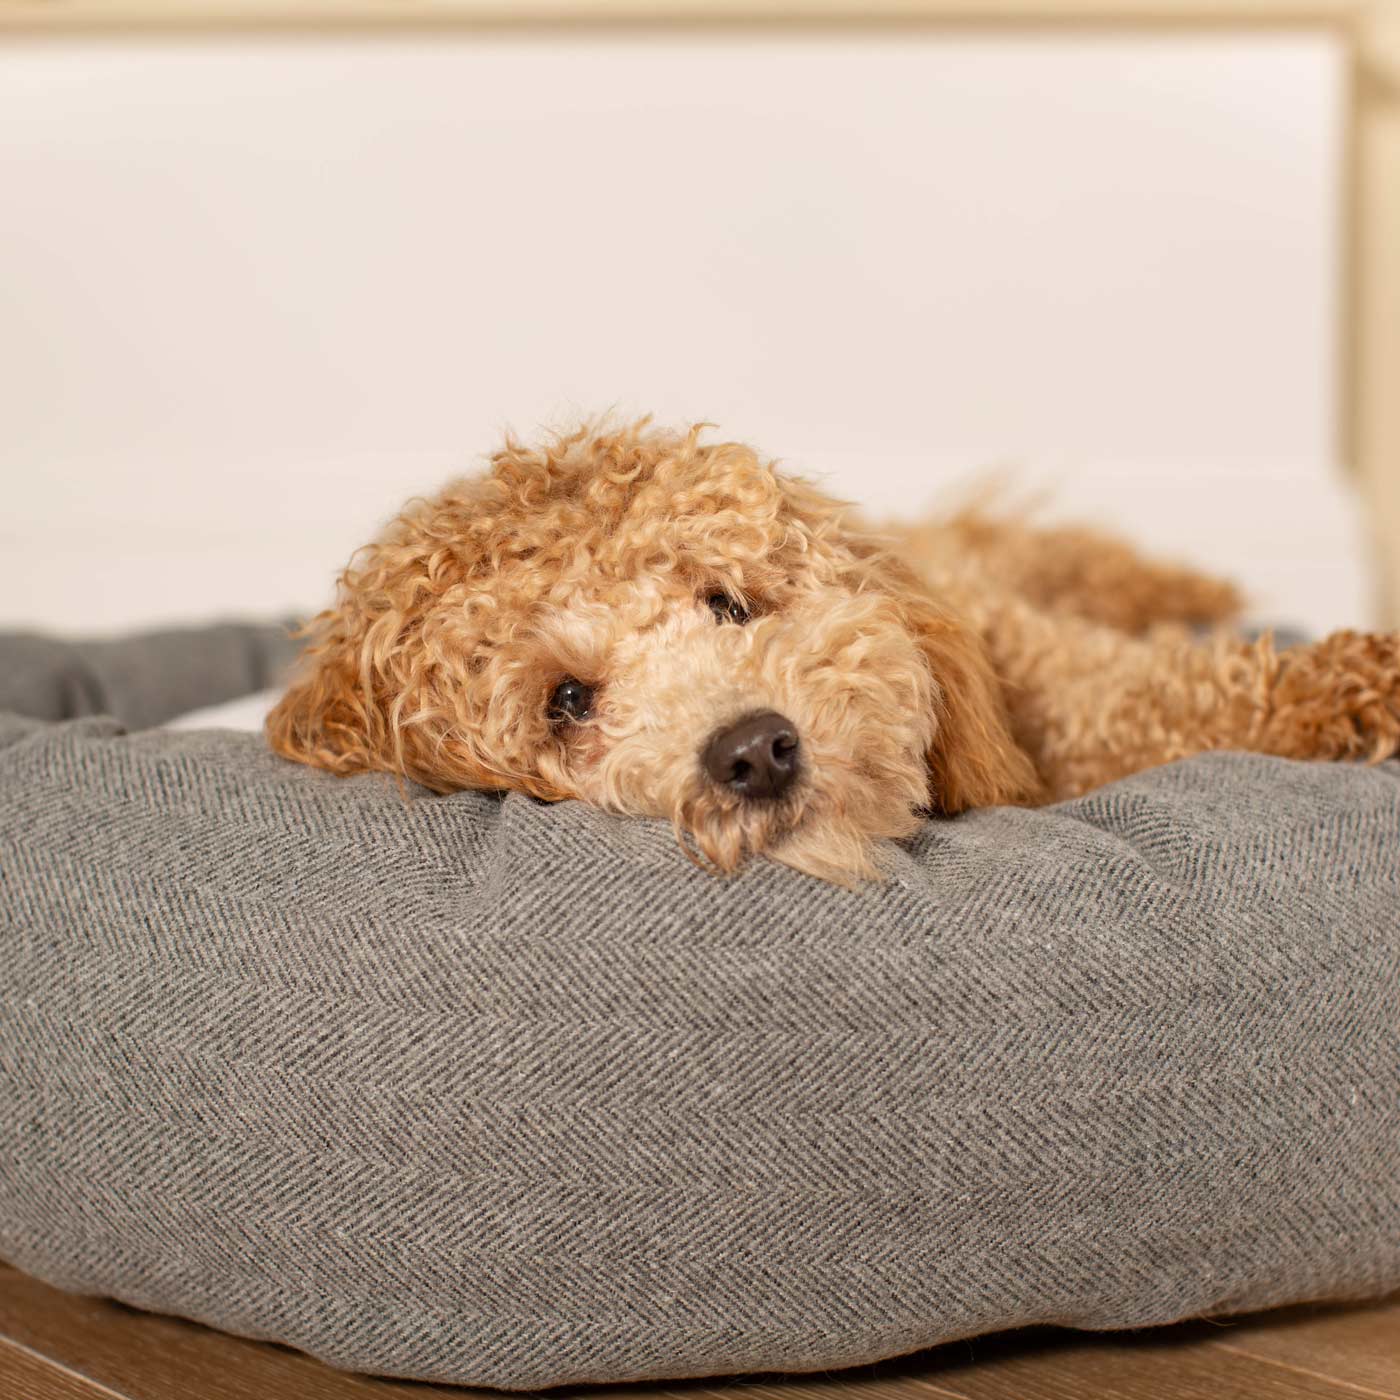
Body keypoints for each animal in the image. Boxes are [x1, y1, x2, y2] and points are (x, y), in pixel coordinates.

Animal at [270, 417, 1400, 884]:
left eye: (728, 602)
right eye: (566, 701)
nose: (756, 748)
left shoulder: (1040, 667)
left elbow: (1171, 684)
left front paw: (1354, 680)